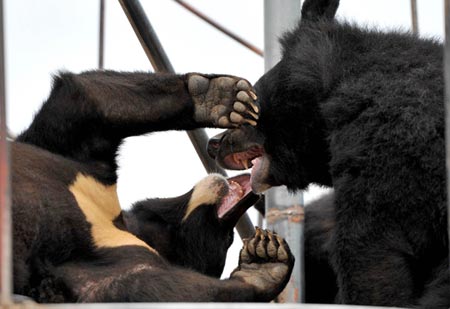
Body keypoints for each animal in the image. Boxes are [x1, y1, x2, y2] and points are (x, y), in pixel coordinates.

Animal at [11, 70, 296, 300]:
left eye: (228, 239)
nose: (254, 195)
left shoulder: (92, 268)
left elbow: (150, 287)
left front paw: (264, 260)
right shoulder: (81, 170)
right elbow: (88, 106)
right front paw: (223, 97)